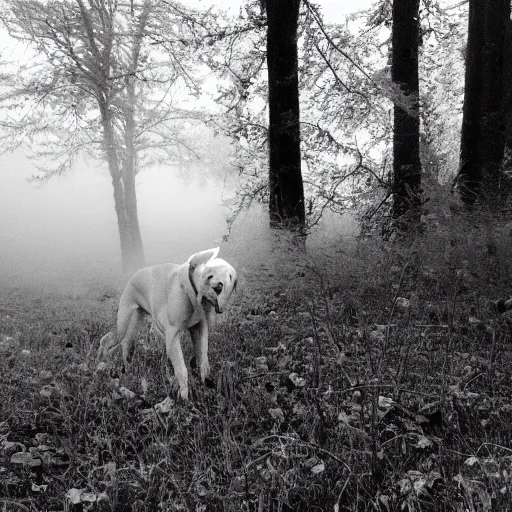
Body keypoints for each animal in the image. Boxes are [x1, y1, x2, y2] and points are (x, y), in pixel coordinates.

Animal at [97, 248, 236, 400]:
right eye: (209, 274)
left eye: (230, 277)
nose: (219, 286)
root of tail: (136, 273)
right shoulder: (173, 336)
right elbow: (181, 369)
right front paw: (185, 397)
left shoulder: (199, 330)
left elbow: (203, 360)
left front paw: (205, 383)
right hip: (123, 324)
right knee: (108, 341)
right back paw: (105, 360)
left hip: (135, 324)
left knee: (127, 344)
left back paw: (127, 370)